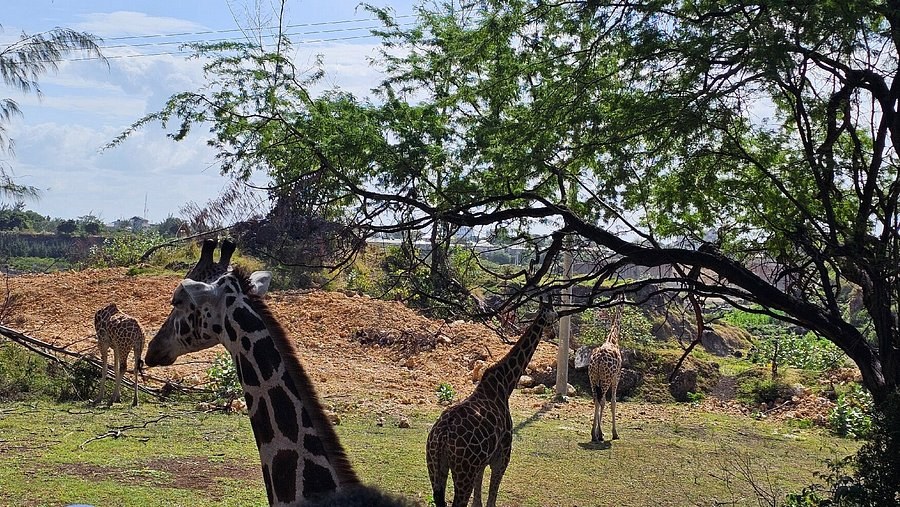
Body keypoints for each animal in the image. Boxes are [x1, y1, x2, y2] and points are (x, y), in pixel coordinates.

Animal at [426, 297, 556, 507]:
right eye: (555, 316)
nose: (553, 334)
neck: (505, 384)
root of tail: (441, 436)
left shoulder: (482, 462)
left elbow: (478, 500)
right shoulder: (501, 457)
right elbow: (491, 500)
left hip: (435, 465)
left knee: (440, 499)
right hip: (463, 470)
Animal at [588, 300, 624, 442]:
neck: (613, 338)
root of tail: (598, 361)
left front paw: (599, 433)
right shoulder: (617, 376)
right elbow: (613, 402)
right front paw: (614, 433)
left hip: (592, 378)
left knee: (596, 400)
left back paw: (594, 434)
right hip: (606, 379)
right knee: (601, 400)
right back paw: (598, 434)